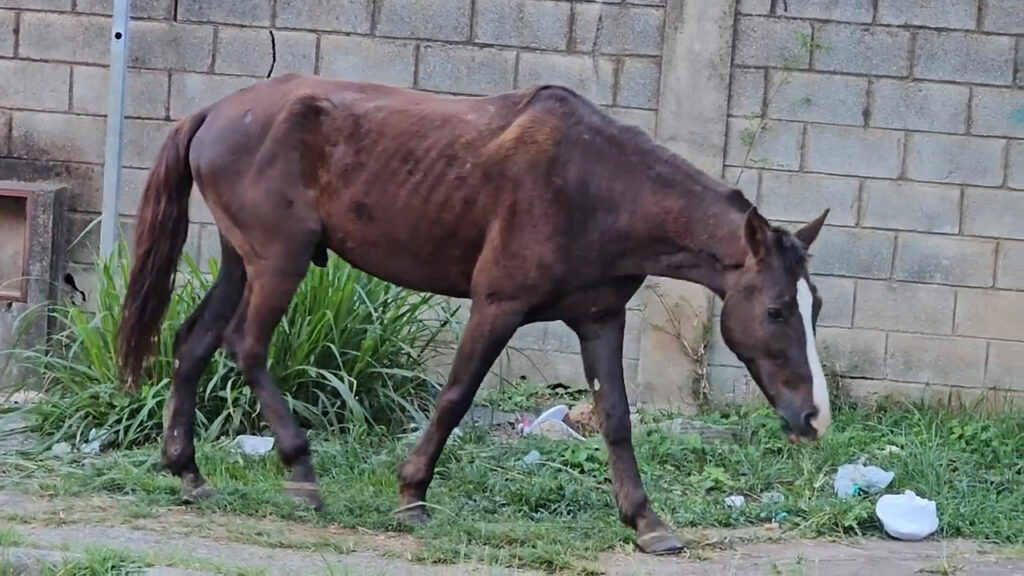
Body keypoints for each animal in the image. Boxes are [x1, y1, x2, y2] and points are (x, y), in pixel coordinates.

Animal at [115, 73, 832, 556]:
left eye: (815, 306)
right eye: (775, 310)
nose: (814, 418)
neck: (598, 184)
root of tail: (213, 112)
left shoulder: (600, 318)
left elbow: (617, 419)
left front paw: (647, 523)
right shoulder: (498, 305)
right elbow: (455, 397)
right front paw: (411, 496)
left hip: (243, 261)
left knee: (194, 342)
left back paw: (188, 472)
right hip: (278, 263)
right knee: (247, 347)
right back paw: (301, 474)